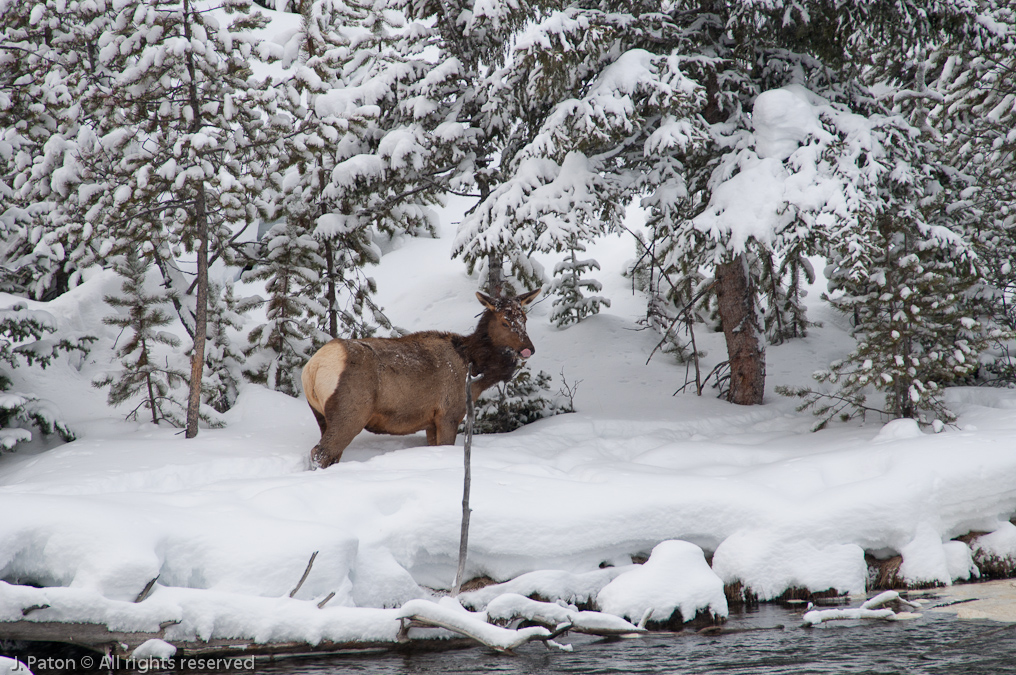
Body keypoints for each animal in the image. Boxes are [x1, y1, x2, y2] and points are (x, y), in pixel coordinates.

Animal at [301, 288, 541, 468]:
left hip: (320, 414)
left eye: (524, 318)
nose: (529, 348)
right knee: (320, 453)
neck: (475, 369)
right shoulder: (449, 413)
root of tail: (312, 368)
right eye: (504, 322)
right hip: (351, 411)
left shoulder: (430, 421)